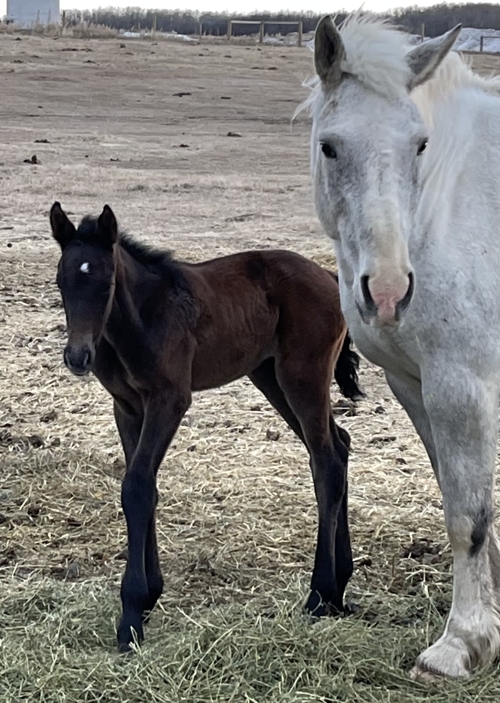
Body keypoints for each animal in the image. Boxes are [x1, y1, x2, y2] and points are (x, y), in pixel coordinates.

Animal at [49, 201, 363, 652]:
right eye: (61, 280)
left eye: (106, 281)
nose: (77, 356)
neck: (141, 318)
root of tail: (329, 277)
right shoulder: (127, 407)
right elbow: (141, 487)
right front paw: (149, 597)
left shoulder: (170, 399)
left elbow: (138, 487)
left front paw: (131, 618)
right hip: (269, 376)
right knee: (340, 445)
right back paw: (339, 586)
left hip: (302, 377)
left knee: (327, 463)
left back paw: (320, 594)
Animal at [299, 12, 500, 679]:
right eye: (331, 146)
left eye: (419, 144)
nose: (387, 292)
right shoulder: (413, 384)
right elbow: (463, 499)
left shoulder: (461, 386)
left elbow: (467, 516)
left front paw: (460, 644)